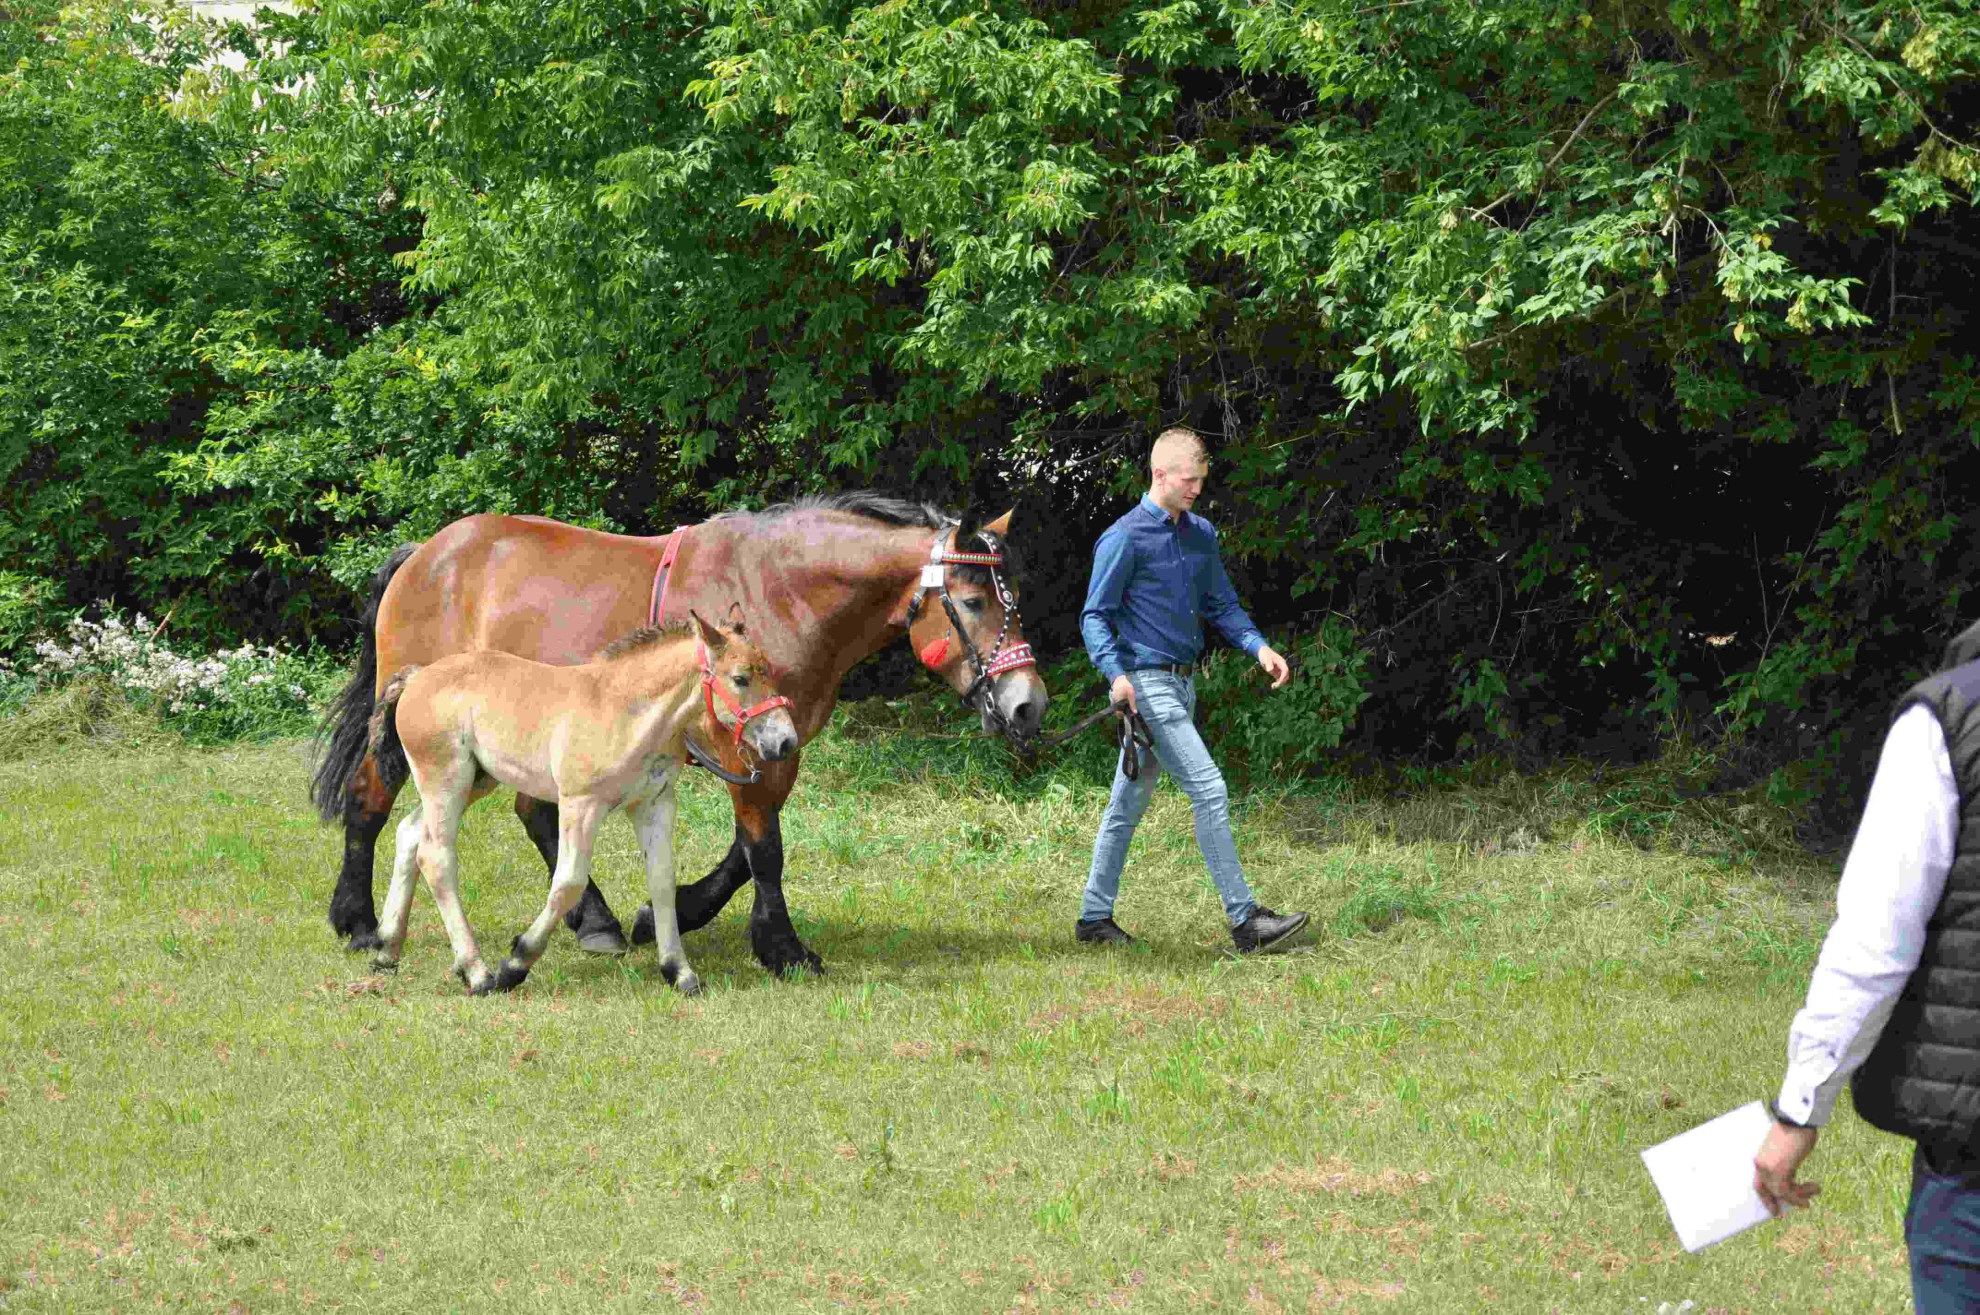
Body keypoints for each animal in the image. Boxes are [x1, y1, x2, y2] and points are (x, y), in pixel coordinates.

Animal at [365, 605, 797, 995]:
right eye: (740, 678)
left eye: (770, 671)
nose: (785, 742)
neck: (626, 710)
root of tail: (417, 676)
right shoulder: (580, 805)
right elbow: (568, 882)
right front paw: (515, 963)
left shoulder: (654, 804)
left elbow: (661, 881)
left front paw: (679, 972)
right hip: (446, 780)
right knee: (436, 857)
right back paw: (477, 972)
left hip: (476, 780)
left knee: (409, 833)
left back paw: (387, 950)